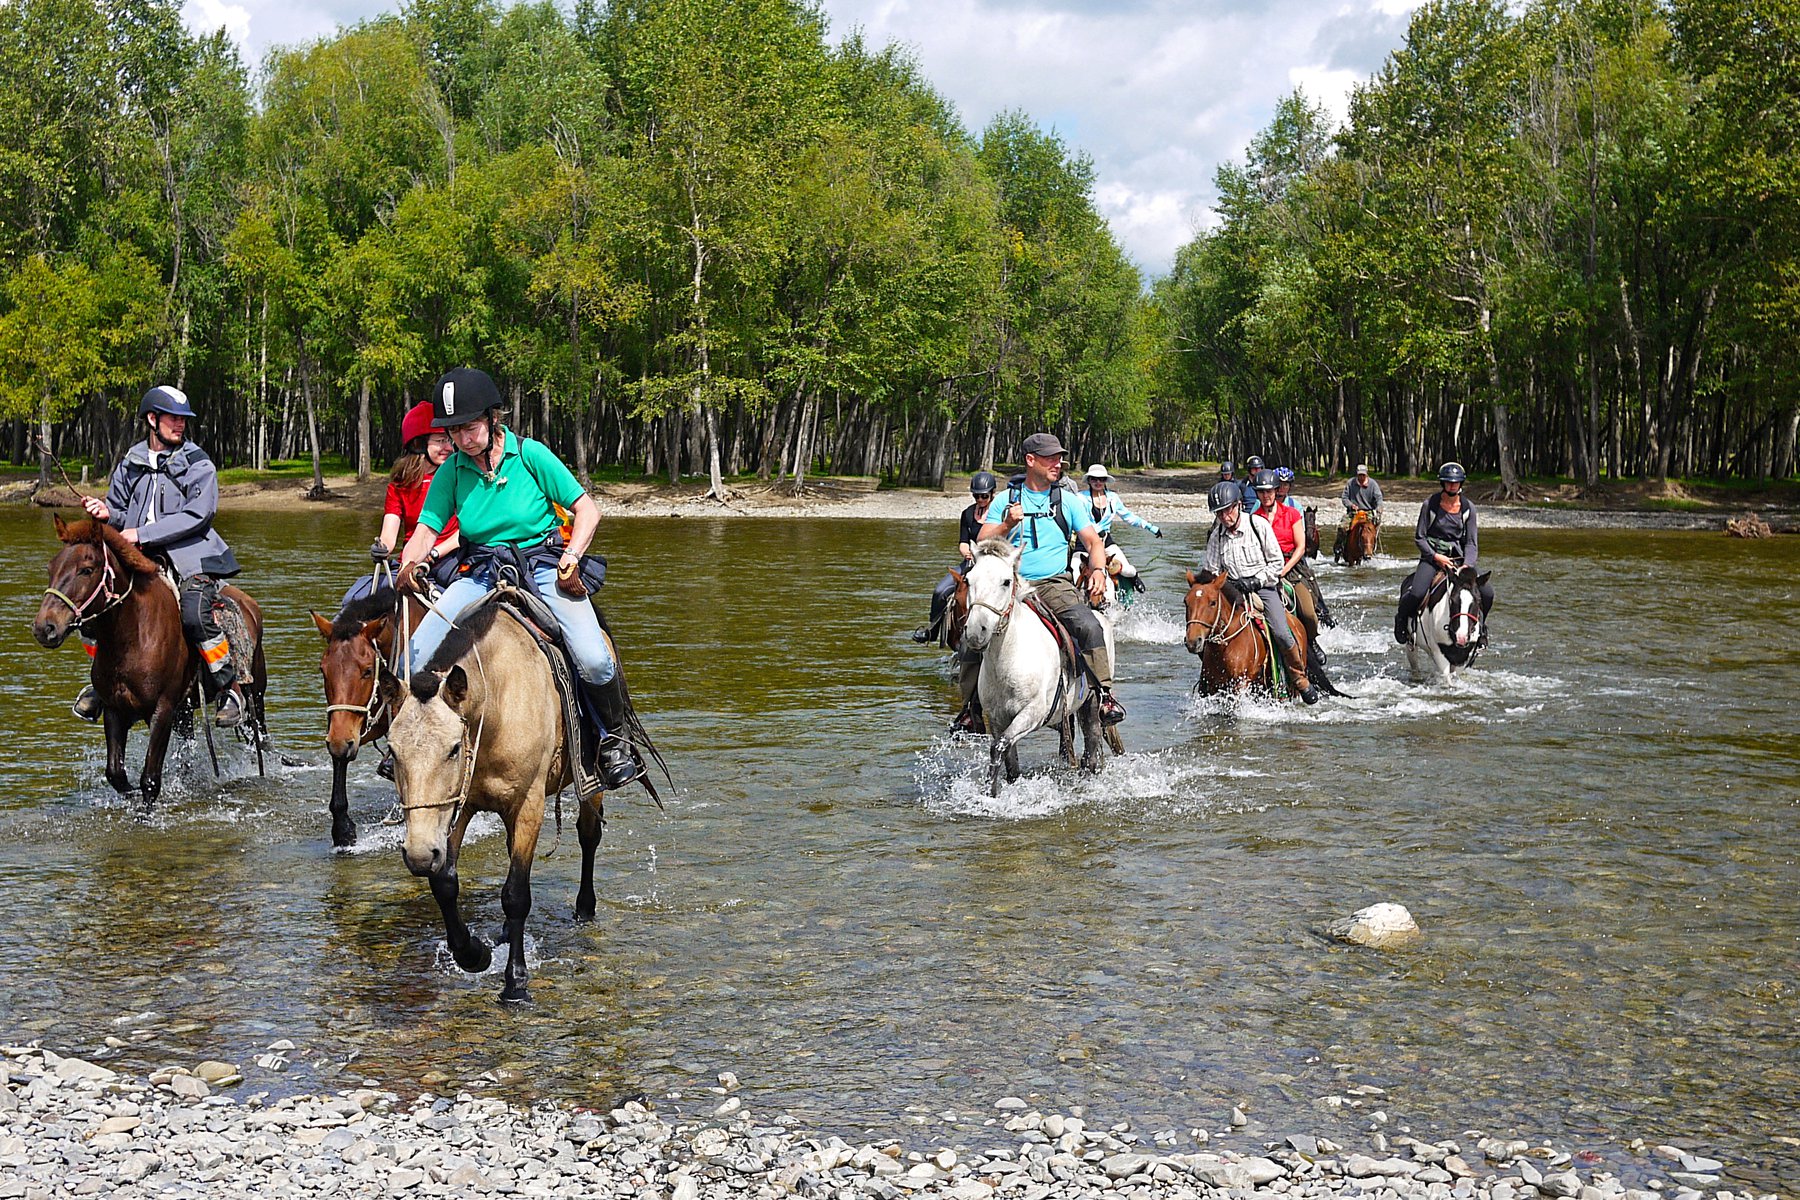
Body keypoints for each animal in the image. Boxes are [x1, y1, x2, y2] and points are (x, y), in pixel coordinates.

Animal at [34, 510, 266, 813]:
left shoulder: (162, 709)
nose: (45, 628)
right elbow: (116, 773)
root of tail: (249, 605)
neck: (133, 637)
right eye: (51, 568)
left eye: (86, 569)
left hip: (255, 696)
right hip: (185, 712)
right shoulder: (115, 709)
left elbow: (150, 779)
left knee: (260, 741)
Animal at [309, 586, 424, 849]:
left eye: (367, 671)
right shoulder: (350, 727)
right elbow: (340, 759)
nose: (339, 741)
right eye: (323, 669)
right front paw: (343, 829)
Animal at [957, 539, 1108, 791]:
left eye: (1006, 581)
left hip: (1092, 703)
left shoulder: (1032, 713)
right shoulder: (997, 718)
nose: (976, 632)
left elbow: (999, 747)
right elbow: (1007, 759)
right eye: (968, 580)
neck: (1007, 660)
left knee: (1092, 751)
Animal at [1180, 572, 1339, 705]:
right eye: (1186, 601)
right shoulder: (1210, 687)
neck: (1225, 647)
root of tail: (1296, 622)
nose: (1193, 641)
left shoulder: (1239, 685)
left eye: (1212, 602)